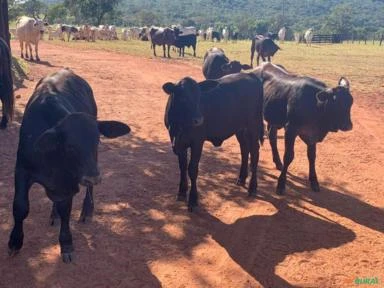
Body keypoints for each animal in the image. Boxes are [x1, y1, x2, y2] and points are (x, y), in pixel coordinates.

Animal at [7, 68, 130, 262]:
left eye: (96, 140)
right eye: (70, 146)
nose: (93, 177)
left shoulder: (68, 183)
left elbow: (66, 210)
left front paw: (66, 244)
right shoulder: (22, 170)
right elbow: (20, 206)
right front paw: (15, 242)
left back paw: (87, 210)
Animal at [162, 73, 264, 210]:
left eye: (199, 96)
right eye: (183, 97)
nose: (199, 119)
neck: (179, 124)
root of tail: (250, 75)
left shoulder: (197, 142)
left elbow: (192, 169)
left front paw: (193, 200)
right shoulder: (178, 142)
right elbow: (182, 166)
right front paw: (182, 192)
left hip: (254, 125)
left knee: (254, 153)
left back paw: (252, 187)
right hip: (240, 128)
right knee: (244, 149)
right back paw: (241, 178)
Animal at [254, 63, 352, 194]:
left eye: (350, 102)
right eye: (336, 102)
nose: (348, 126)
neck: (314, 105)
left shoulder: (312, 135)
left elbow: (312, 156)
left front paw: (314, 181)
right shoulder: (290, 130)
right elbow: (289, 156)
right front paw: (281, 183)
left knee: (272, 138)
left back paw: (278, 162)